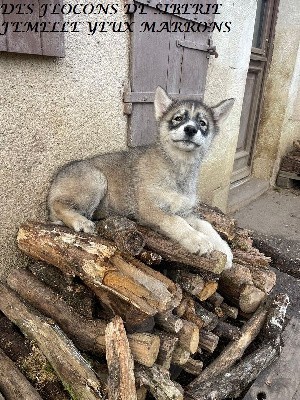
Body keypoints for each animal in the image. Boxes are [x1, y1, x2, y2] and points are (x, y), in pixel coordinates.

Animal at [47, 87, 234, 268]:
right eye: (178, 118)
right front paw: (197, 240)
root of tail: (56, 179)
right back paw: (80, 221)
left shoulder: (185, 211)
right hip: (96, 179)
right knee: (59, 204)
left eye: (202, 123)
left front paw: (224, 249)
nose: (190, 129)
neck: (178, 167)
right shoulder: (150, 209)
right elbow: (175, 221)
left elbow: (205, 224)